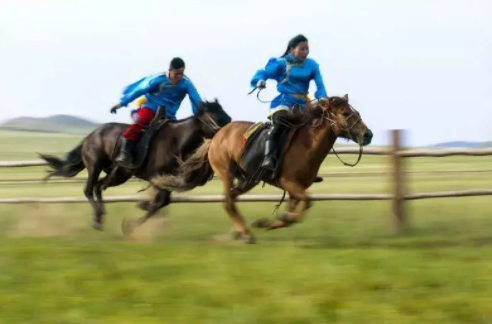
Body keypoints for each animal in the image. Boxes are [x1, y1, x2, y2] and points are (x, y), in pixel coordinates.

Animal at [39, 100, 232, 234]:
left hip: (120, 174)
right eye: (217, 116)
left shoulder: (167, 179)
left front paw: (138, 212)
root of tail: (90, 136)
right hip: (95, 165)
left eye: (226, 115)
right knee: (89, 189)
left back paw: (100, 217)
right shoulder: (156, 177)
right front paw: (131, 223)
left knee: (99, 187)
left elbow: (162, 202)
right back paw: (97, 218)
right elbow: (159, 202)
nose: (229, 131)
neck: (177, 139)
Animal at [151, 93, 372, 243]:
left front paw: (268, 222)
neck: (307, 144)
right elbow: (307, 204)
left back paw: (240, 231)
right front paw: (271, 221)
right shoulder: (287, 182)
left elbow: (295, 212)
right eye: (345, 113)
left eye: (357, 112)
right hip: (226, 171)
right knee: (228, 201)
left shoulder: (296, 188)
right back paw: (245, 234)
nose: (367, 134)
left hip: (249, 178)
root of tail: (216, 136)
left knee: (232, 198)